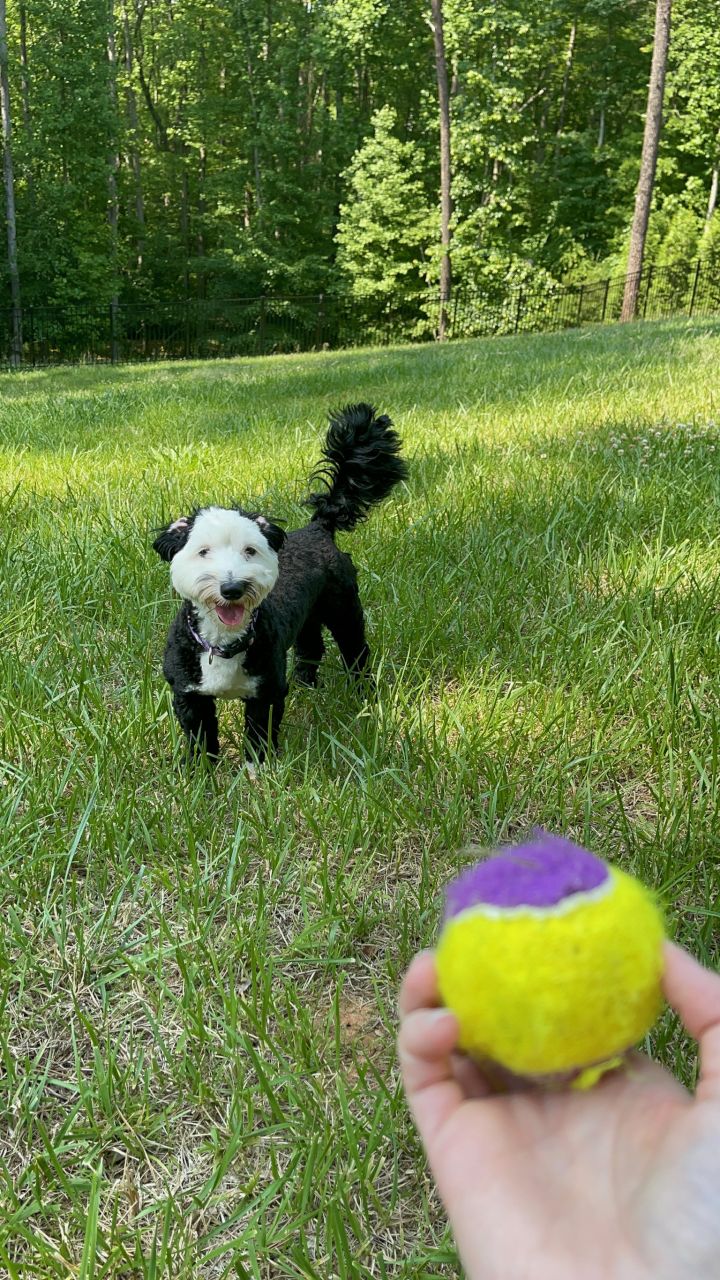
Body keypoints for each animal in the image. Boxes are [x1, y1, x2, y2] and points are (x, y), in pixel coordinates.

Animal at [152, 404, 404, 757]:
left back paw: (363, 693)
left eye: (250, 550)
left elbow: (259, 735)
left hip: (344, 610)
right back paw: (304, 684)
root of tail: (317, 527)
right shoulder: (189, 696)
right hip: (308, 617)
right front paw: (198, 769)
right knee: (311, 647)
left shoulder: (266, 694)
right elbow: (201, 740)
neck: (224, 643)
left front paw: (259, 767)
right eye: (203, 551)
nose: (232, 588)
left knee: (355, 652)